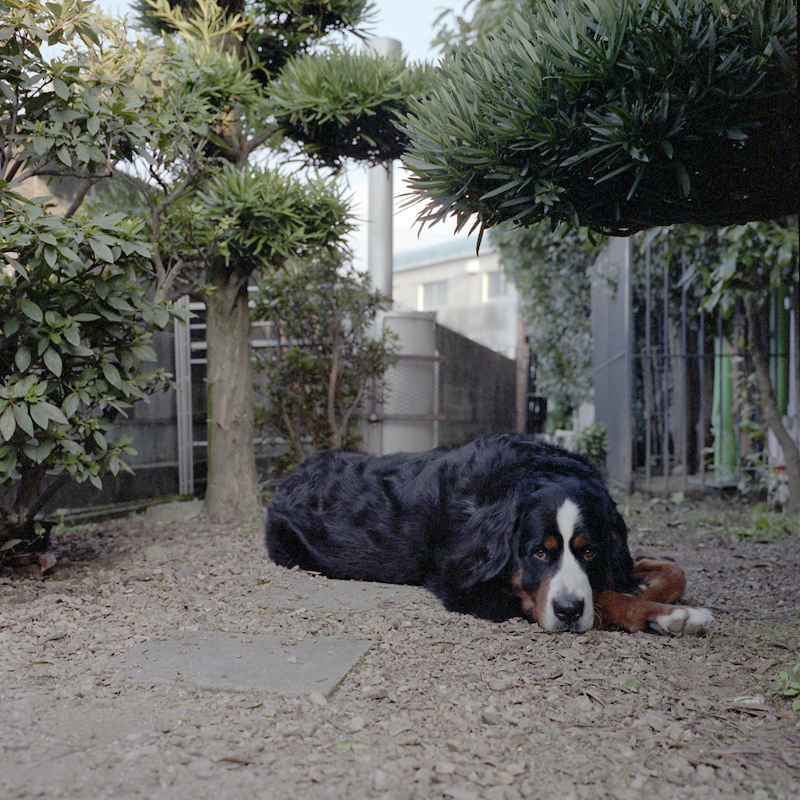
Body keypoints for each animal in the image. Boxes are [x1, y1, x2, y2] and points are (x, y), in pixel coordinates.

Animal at [265, 434, 712, 635]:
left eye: (589, 552)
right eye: (538, 553)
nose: (568, 610)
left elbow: (670, 572)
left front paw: (648, 590)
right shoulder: (469, 588)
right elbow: (603, 597)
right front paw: (670, 615)